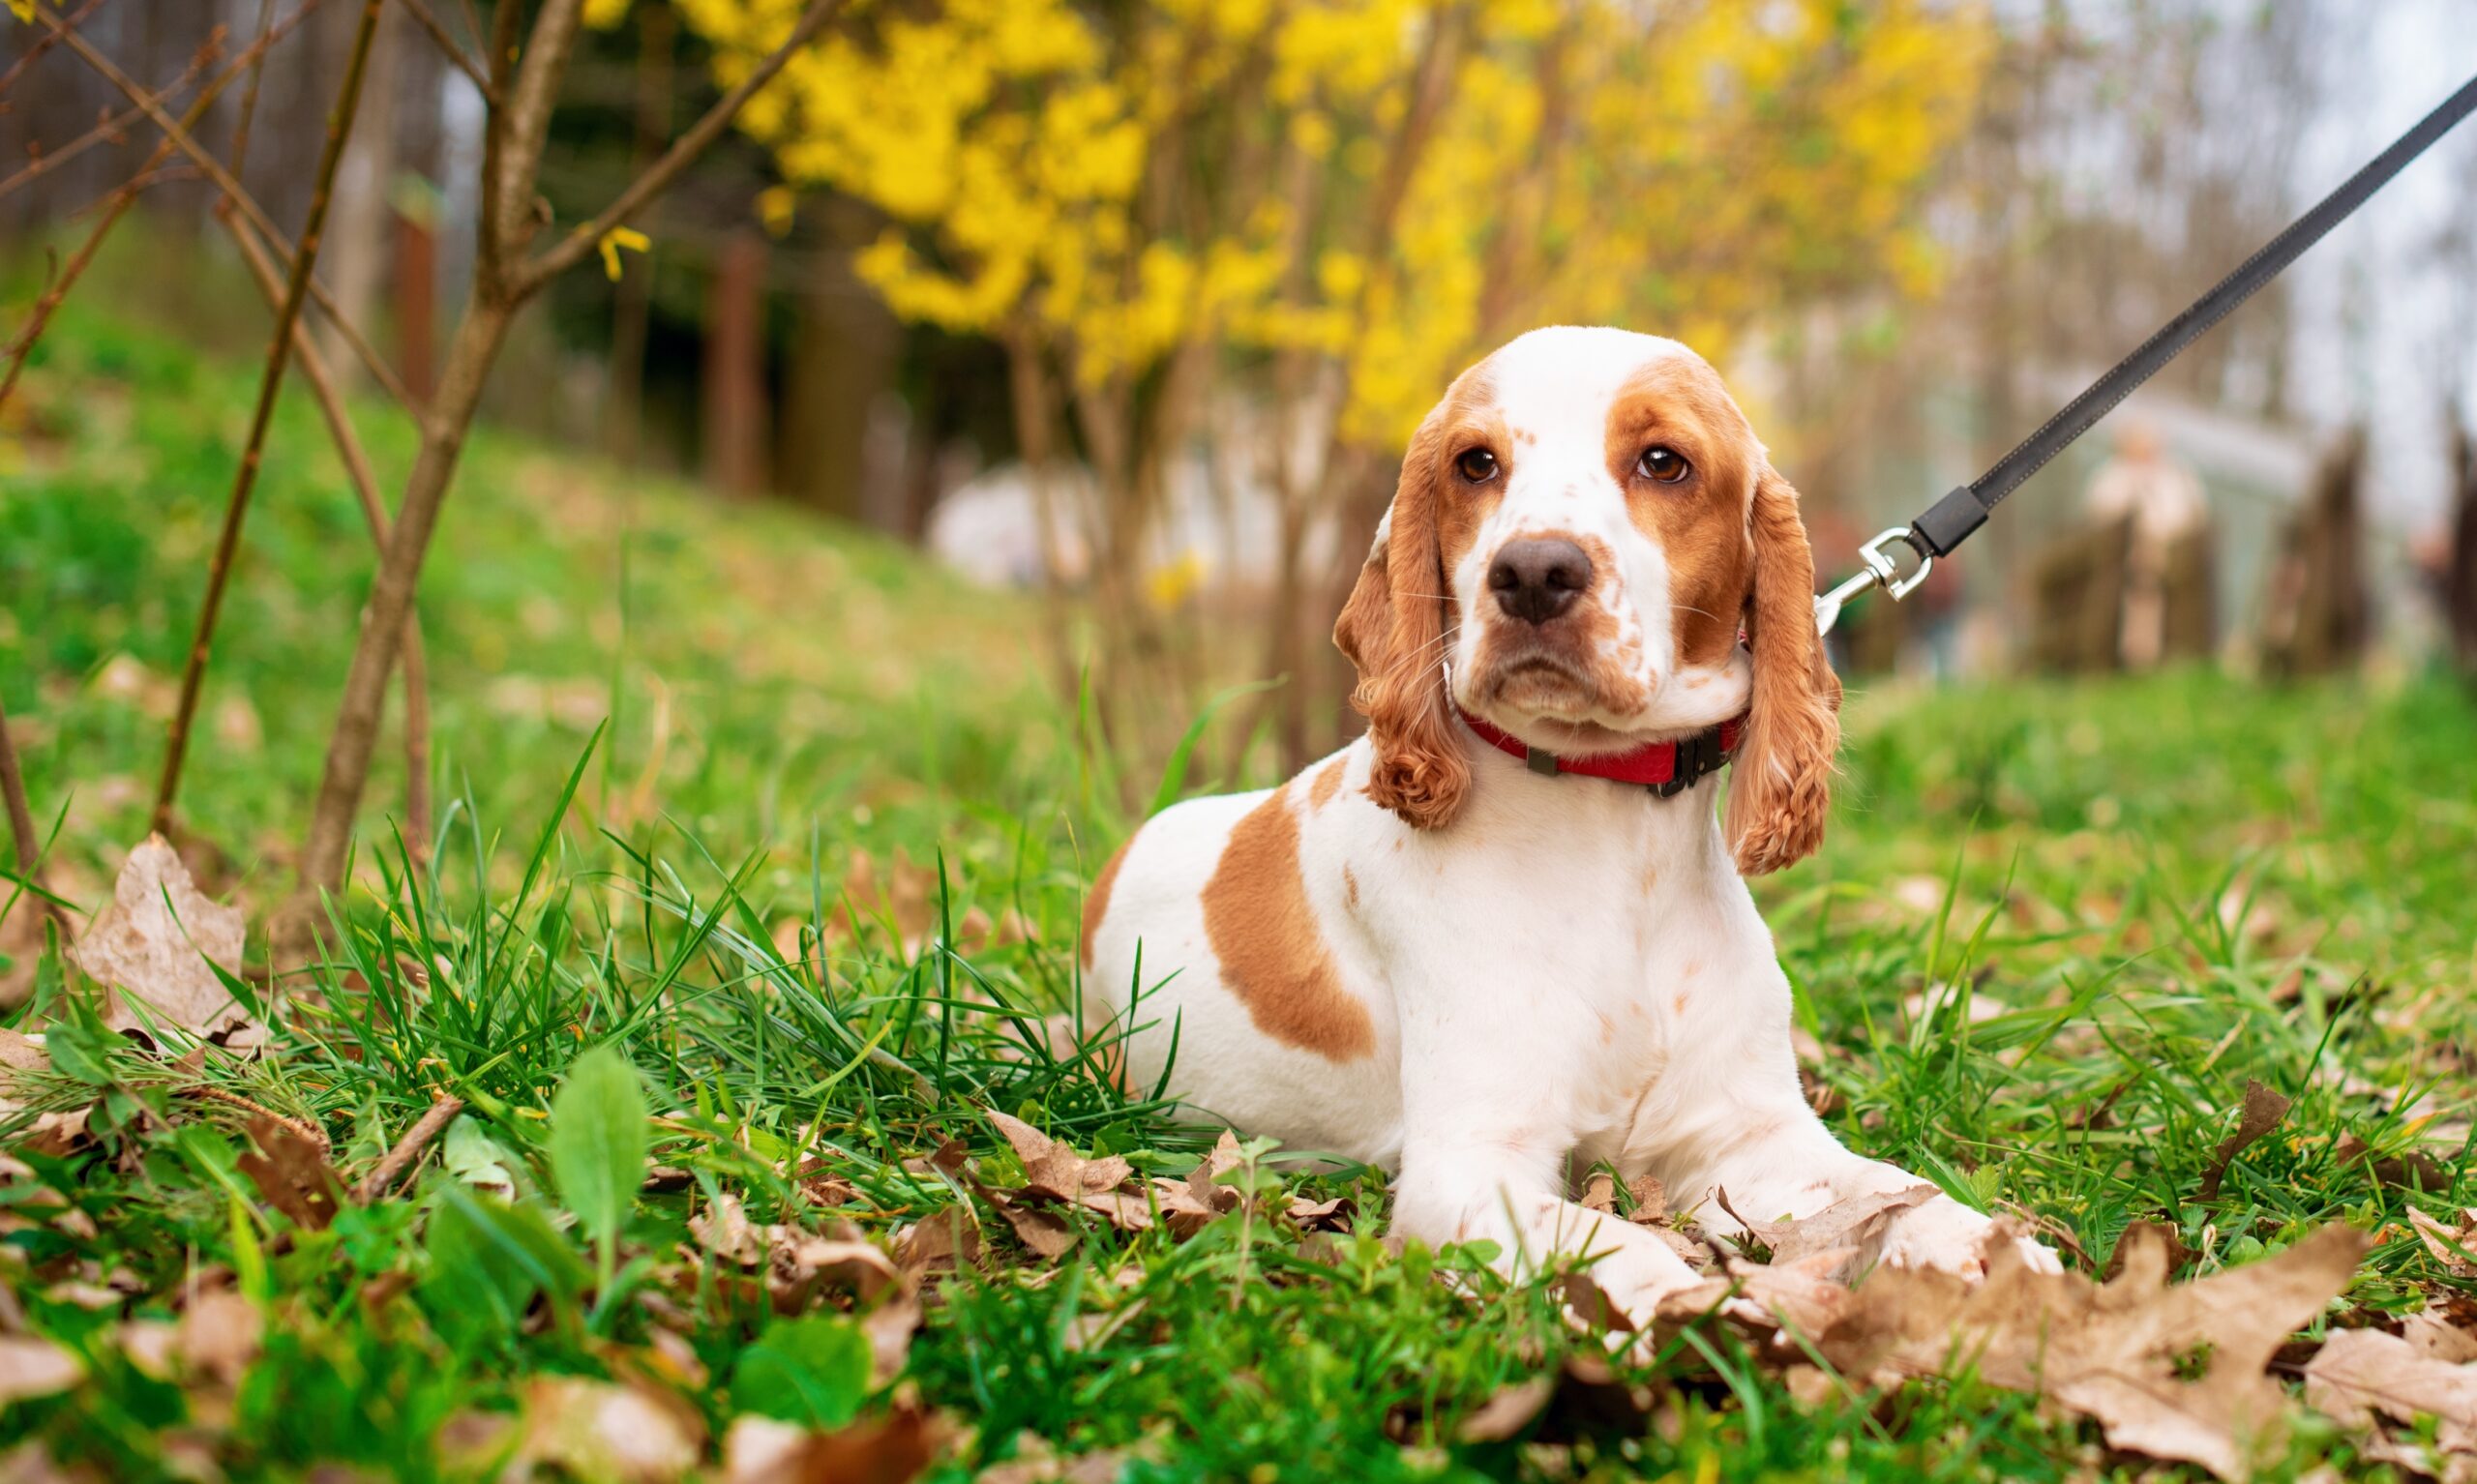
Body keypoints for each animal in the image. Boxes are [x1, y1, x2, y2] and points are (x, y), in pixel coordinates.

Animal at [1080, 327, 2050, 1327]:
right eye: (1476, 463)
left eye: (1664, 462)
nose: (1534, 572)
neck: (1611, 825)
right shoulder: (1469, 1168)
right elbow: (1625, 1247)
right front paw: (1698, 1321)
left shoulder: (1747, 1133)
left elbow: (1889, 1187)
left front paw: (1995, 1256)